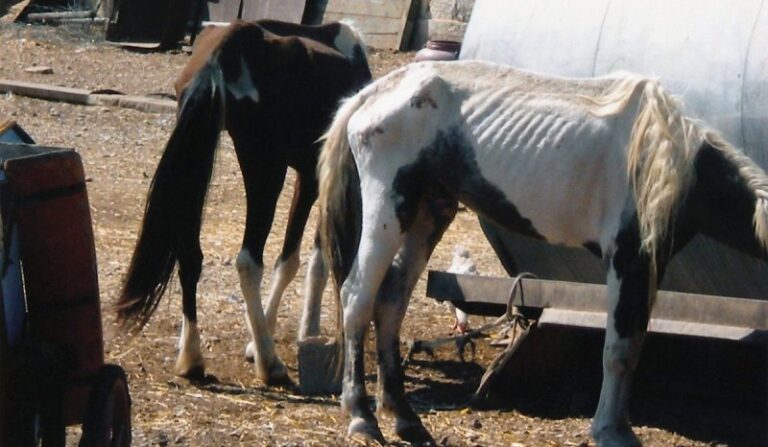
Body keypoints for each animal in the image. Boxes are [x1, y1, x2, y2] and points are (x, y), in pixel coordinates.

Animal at [115, 19, 376, 386]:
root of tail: (229, 45)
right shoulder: (313, 178)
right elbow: (302, 259)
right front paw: (286, 335)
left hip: (198, 158)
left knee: (189, 255)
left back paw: (191, 357)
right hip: (265, 169)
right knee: (249, 262)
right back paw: (270, 363)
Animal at [316, 60, 768, 447]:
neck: (668, 157)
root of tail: (370, 94)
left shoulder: (649, 267)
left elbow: (634, 346)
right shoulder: (628, 260)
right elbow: (619, 351)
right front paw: (611, 431)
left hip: (430, 213)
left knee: (390, 303)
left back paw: (405, 419)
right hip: (390, 210)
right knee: (357, 298)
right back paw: (361, 418)